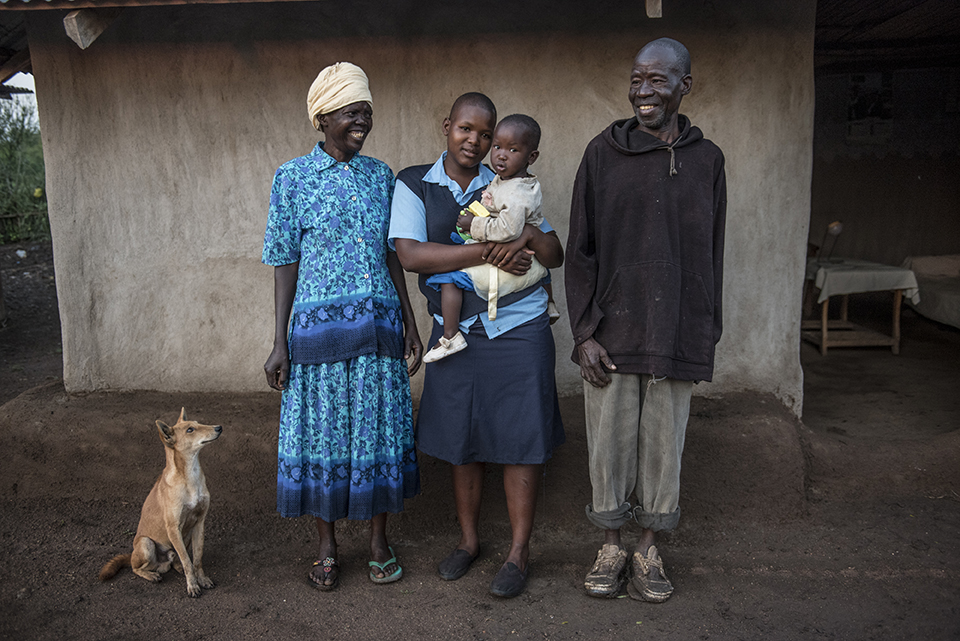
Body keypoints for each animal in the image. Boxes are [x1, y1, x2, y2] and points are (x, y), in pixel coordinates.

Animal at [99, 408, 223, 596]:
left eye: (197, 423)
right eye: (190, 430)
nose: (219, 427)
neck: (190, 475)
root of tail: (131, 555)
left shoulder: (199, 523)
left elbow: (196, 558)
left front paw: (201, 579)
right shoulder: (173, 528)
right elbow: (188, 561)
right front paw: (192, 585)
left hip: (185, 536)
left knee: (176, 559)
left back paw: (176, 567)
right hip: (146, 543)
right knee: (136, 568)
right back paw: (151, 575)